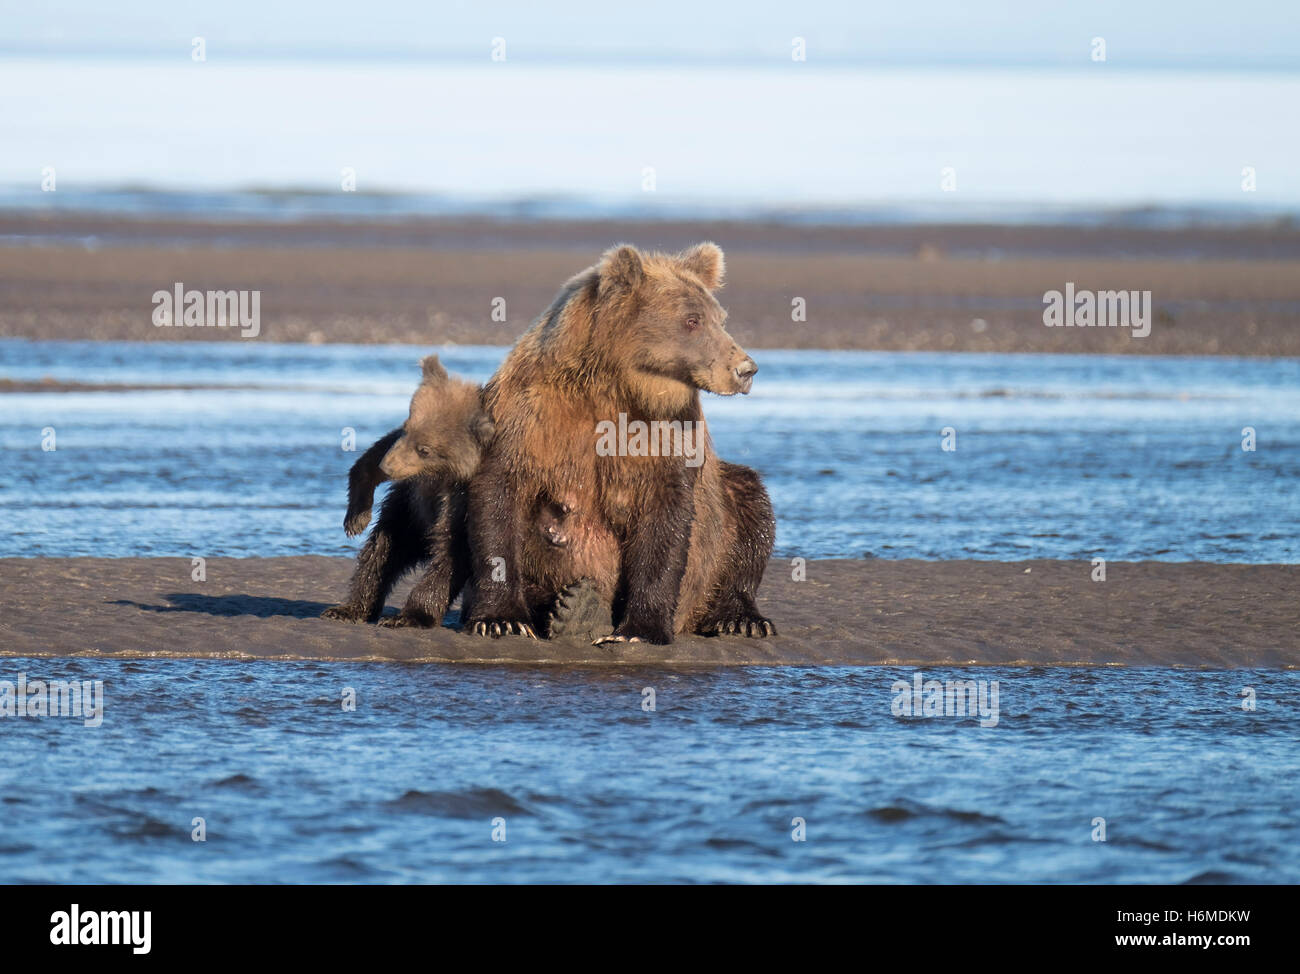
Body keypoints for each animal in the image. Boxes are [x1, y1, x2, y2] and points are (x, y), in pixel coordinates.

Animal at [321, 355, 495, 628]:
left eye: (425, 449)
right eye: (406, 426)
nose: (388, 465)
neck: (440, 474)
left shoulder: (461, 497)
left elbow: (453, 552)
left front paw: (409, 615)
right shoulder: (413, 477)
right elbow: (368, 461)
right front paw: (356, 519)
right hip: (408, 514)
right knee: (382, 551)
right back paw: (351, 608)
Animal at [461, 242, 776, 645]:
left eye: (720, 317)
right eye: (693, 320)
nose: (745, 369)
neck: (614, 384)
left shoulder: (665, 434)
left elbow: (666, 521)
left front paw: (639, 630)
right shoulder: (529, 414)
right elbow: (499, 495)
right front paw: (502, 619)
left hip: (721, 526)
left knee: (750, 506)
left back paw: (739, 618)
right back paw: (569, 607)